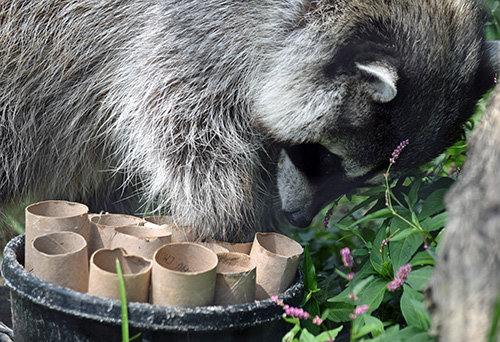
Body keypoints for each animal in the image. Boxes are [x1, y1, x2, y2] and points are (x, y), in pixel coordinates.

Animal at [0, 0, 498, 240]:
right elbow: (183, 129)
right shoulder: (189, 32)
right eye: (323, 157)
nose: (299, 219)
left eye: (362, 180)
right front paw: (228, 218)